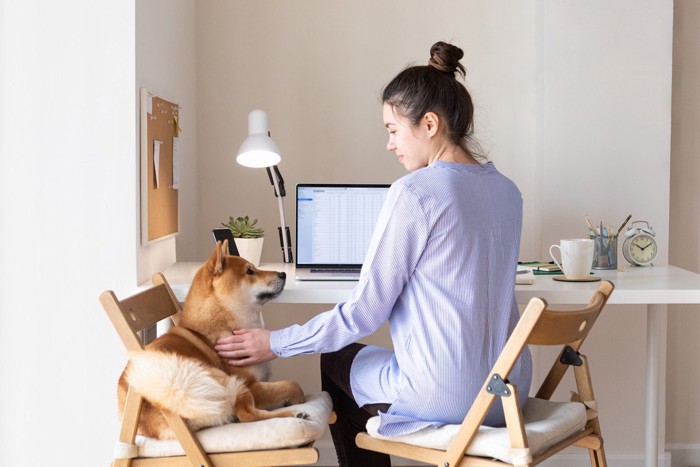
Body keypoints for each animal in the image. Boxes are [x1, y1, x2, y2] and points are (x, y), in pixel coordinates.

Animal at [118, 243, 306, 440]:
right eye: (250, 271)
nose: (283, 274)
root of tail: (157, 398)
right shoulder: (251, 384)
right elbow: (292, 385)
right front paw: (297, 399)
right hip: (231, 383)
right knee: (248, 415)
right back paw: (293, 414)